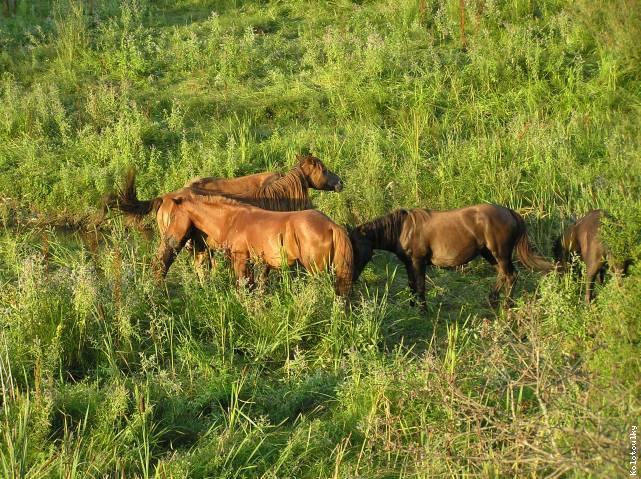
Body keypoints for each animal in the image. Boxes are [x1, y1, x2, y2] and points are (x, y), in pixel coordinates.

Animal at [155, 195, 356, 296]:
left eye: (172, 216)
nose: (168, 239)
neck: (232, 220)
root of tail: (332, 226)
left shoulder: (241, 260)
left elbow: (243, 286)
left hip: (317, 271)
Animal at [348, 204, 552, 310]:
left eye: (355, 249)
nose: (351, 277)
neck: (403, 229)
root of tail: (510, 212)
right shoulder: (409, 263)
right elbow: (412, 284)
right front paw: (413, 306)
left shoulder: (418, 262)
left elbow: (420, 285)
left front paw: (423, 310)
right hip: (490, 255)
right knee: (503, 275)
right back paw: (491, 300)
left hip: (499, 254)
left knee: (510, 276)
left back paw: (507, 305)